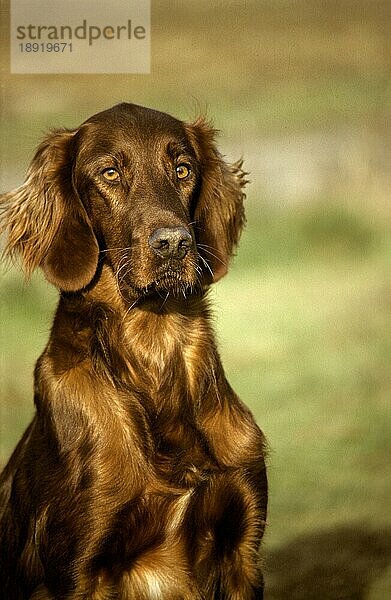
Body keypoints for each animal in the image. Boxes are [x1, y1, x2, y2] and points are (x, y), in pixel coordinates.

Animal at [0, 104, 268, 600]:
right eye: (110, 173)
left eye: (182, 169)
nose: (174, 243)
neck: (155, 353)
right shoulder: (78, 572)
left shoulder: (243, 549)